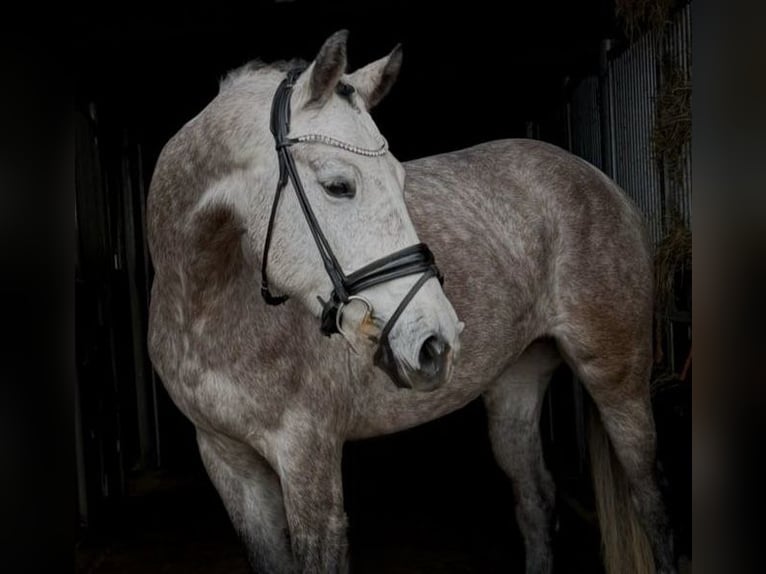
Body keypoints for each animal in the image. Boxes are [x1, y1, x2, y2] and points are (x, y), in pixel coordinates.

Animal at [146, 30, 677, 574]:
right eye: (339, 185)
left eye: (401, 181)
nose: (435, 341)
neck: (207, 311)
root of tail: (602, 182)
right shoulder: (229, 462)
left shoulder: (307, 458)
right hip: (516, 385)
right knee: (536, 501)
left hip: (618, 382)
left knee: (650, 501)